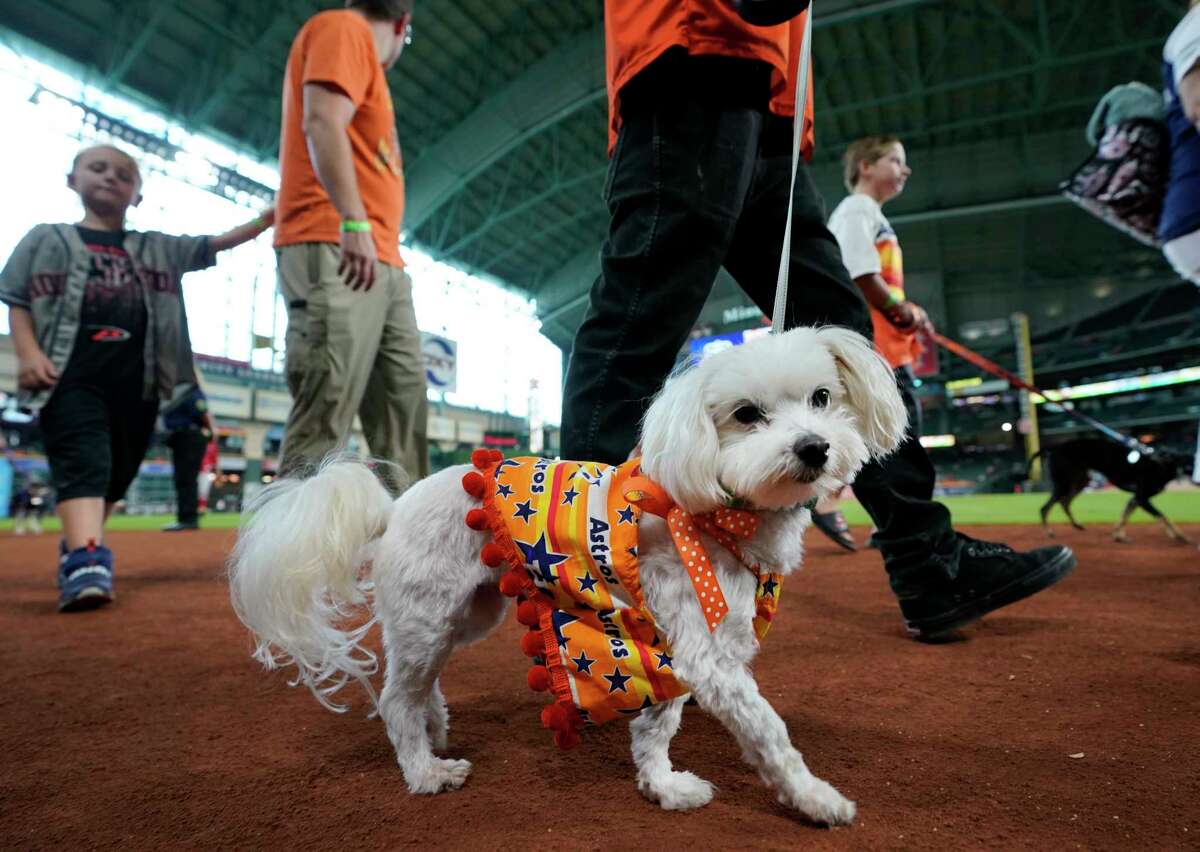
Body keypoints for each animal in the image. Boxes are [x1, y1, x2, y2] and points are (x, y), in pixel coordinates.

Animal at [226, 326, 902, 825]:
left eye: (822, 398)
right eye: (746, 414)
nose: (814, 447)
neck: (721, 517)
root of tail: (393, 510)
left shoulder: (676, 647)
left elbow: (659, 722)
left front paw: (661, 785)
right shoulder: (706, 650)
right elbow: (768, 731)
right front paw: (816, 799)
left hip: (464, 616)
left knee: (418, 686)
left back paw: (435, 727)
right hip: (427, 614)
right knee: (395, 699)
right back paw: (425, 772)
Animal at [1032, 441, 1190, 547]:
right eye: (1164, 451)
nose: (1155, 454)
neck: (1159, 467)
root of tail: (1056, 447)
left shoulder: (1135, 499)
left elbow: (1124, 517)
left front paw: (1119, 536)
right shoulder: (1142, 498)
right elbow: (1164, 517)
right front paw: (1181, 536)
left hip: (1079, 482)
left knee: (1064, 502)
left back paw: (1077, 525)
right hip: (1064, 484)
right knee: (1045, 508)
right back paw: (1049, 532)